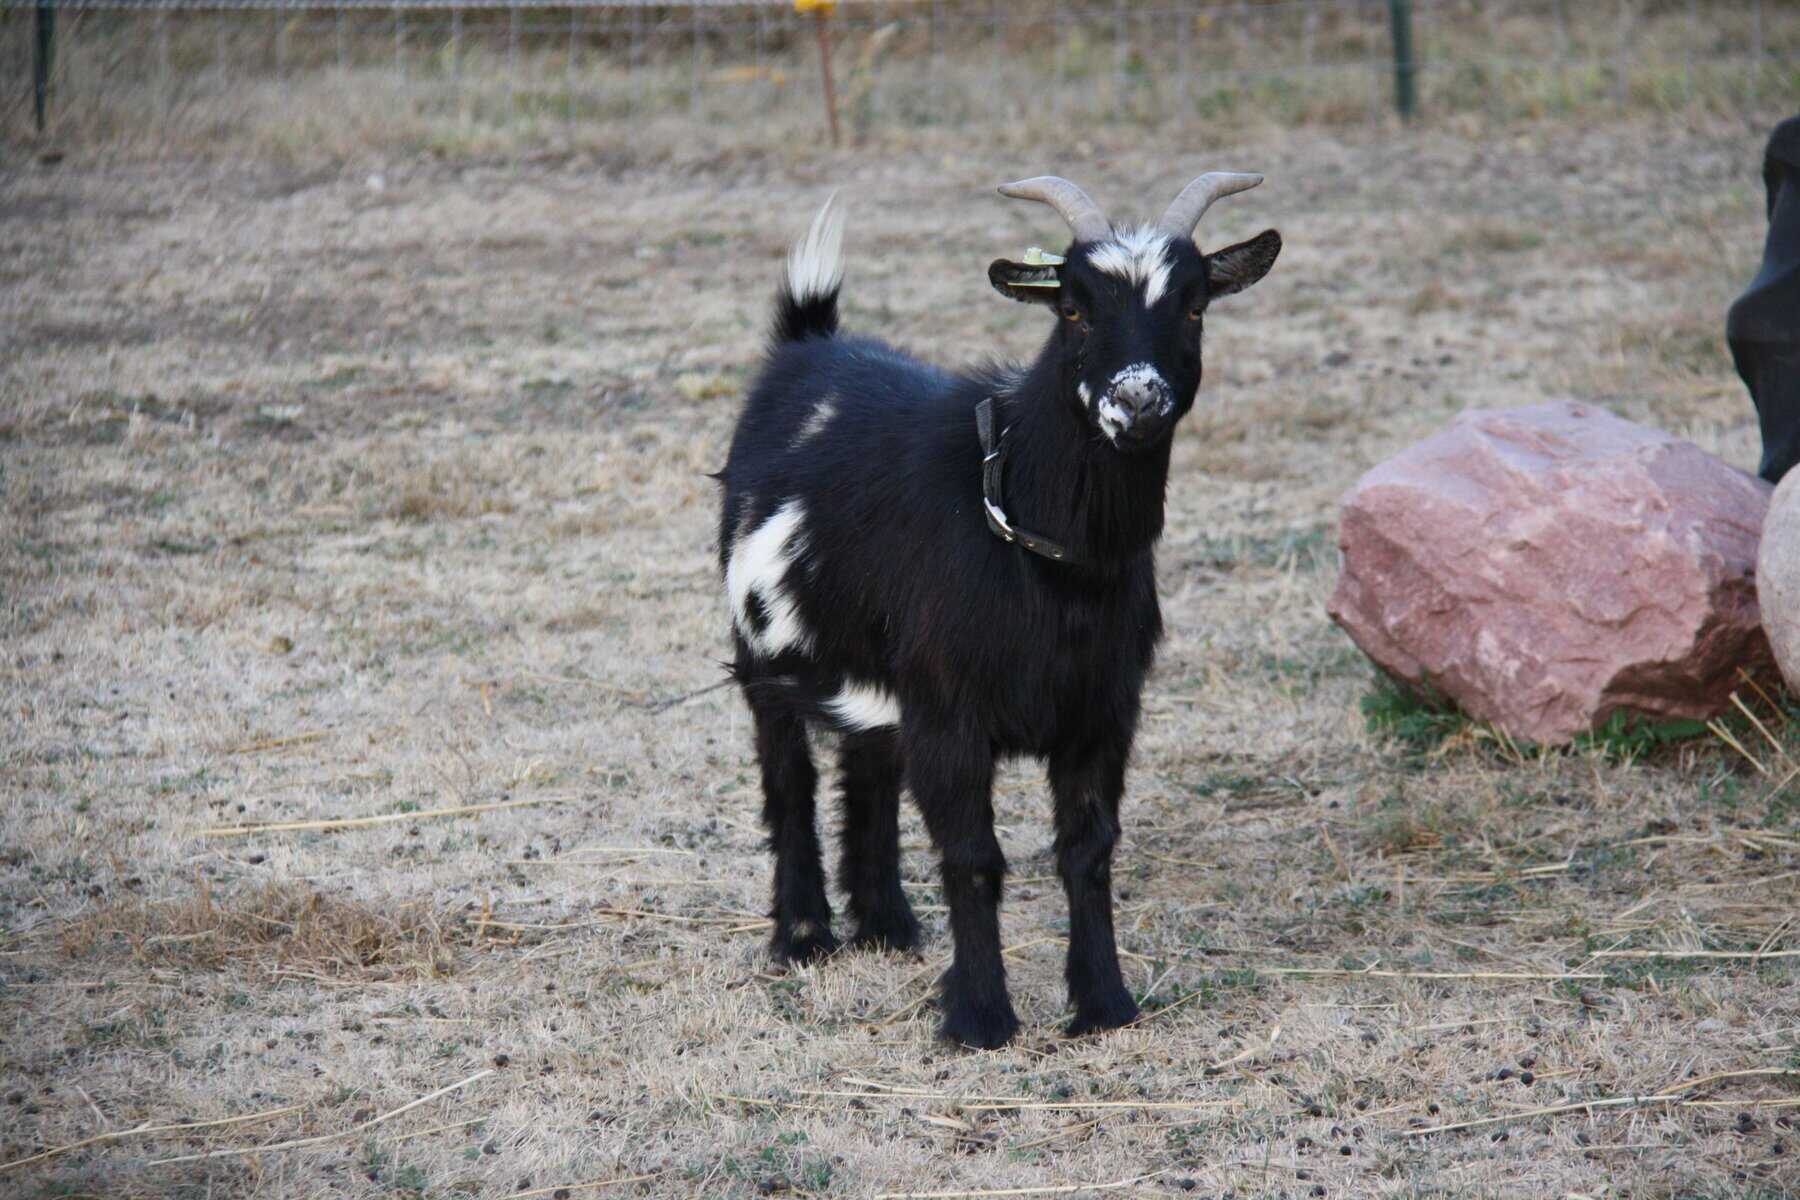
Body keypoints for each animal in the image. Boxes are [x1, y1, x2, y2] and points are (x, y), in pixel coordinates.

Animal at [716, 173, 1281, 1048]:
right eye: (1073, 307)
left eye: (1193, 305)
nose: (1137, 402)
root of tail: (809, 345)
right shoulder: (952, 716)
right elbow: (972, 855)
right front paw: (980, 1017)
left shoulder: (1101, 713)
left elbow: (1087, 849)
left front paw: (1104, 1003)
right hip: (762, 649)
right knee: (788, 776)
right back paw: (804, 937)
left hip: (877, 669)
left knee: (868, 766)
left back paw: (886, 925)